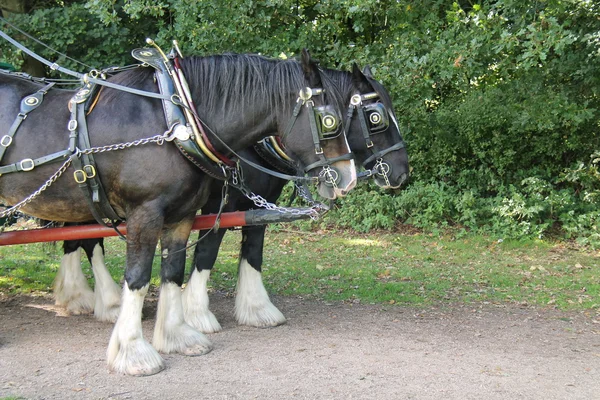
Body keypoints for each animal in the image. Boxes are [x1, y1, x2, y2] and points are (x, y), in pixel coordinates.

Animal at [0, 49, 356, 376]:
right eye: (330, 120)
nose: (348, 177)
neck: (175, 119)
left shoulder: (181, 215)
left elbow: (173, 271)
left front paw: (176, 337)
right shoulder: (145, 214)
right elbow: (139, 277)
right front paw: (133, 351)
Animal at [51, 63, 410, 332]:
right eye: (375, 117)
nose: (401, 174)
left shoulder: (258, 207)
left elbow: (253, 252)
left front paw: (257, 308)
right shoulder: (217, 207)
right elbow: (207, 252)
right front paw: (196, 313)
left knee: (76, 237)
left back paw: (76, 296)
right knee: (88, 241)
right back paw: (104, 301)